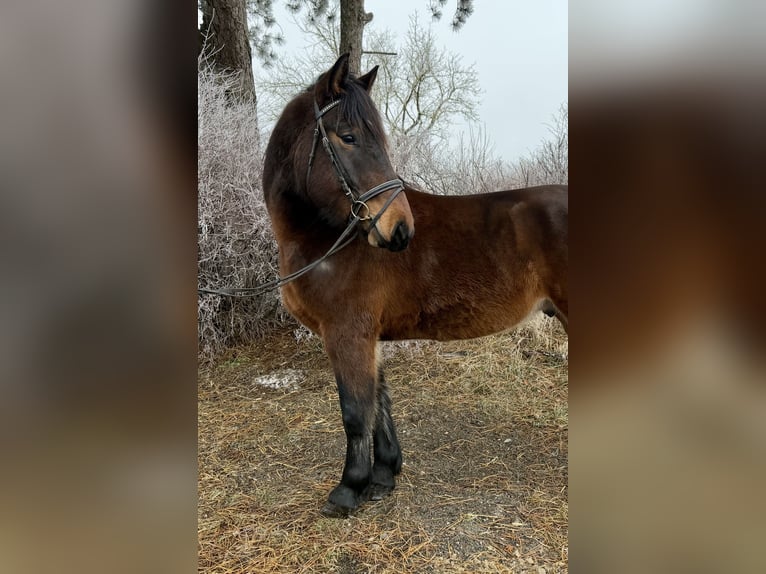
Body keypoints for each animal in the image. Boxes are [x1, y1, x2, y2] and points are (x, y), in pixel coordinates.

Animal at [262, 54, 568, 517]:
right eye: (348, 137)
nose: (399, 228)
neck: (327, 236)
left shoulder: (346, 333)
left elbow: (355, 411)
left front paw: (348, 489)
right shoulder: (368, 336)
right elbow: (379, 403)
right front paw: (383, 476)